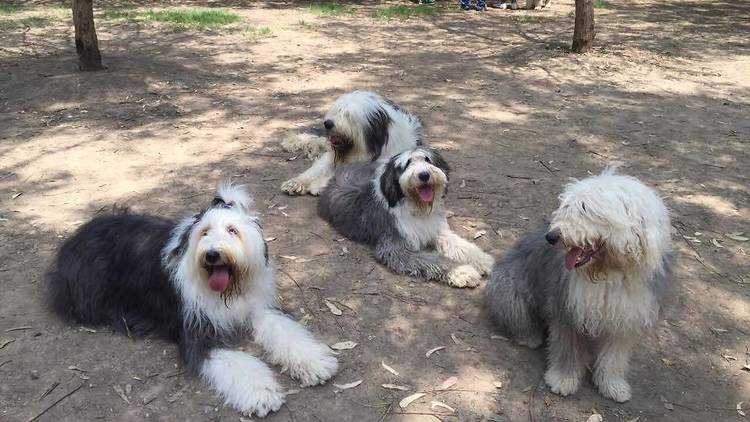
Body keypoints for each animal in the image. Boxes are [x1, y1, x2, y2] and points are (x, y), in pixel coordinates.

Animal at [47, 183, 338, 418]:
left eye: (232, 230)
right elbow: (237, 362)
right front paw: (261, 394)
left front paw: (314, 362)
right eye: (205, 232)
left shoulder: (258, 307)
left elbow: (287, 332)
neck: (225, 291)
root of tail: (77, 235)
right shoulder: (198, 330)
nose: (212, 254)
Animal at [280, 90, 426, 196]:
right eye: (337, 111)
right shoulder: (331, 156)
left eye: (348, 116)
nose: (328, 123)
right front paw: (296, 182)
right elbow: (317, 169)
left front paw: (318, 185)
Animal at [320, 147, 496, 288]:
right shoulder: (396, 248)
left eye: (427, 159)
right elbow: (433, 259)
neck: (416, 208)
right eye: (407, 164)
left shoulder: (438, 232)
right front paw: (462, 271)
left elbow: (464, 247)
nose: (424, 175)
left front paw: (485, 261)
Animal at [488, 167, 676, 402]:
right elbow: (566, 350)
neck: (608, 273)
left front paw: (613, 386)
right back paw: (530, 337)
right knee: (519, 318)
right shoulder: (567, 311)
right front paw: (563, 380)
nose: (551, 236)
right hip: (509, 290)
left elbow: (614, 358)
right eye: (566, 207)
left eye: (585, 209)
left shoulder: (626, 319)